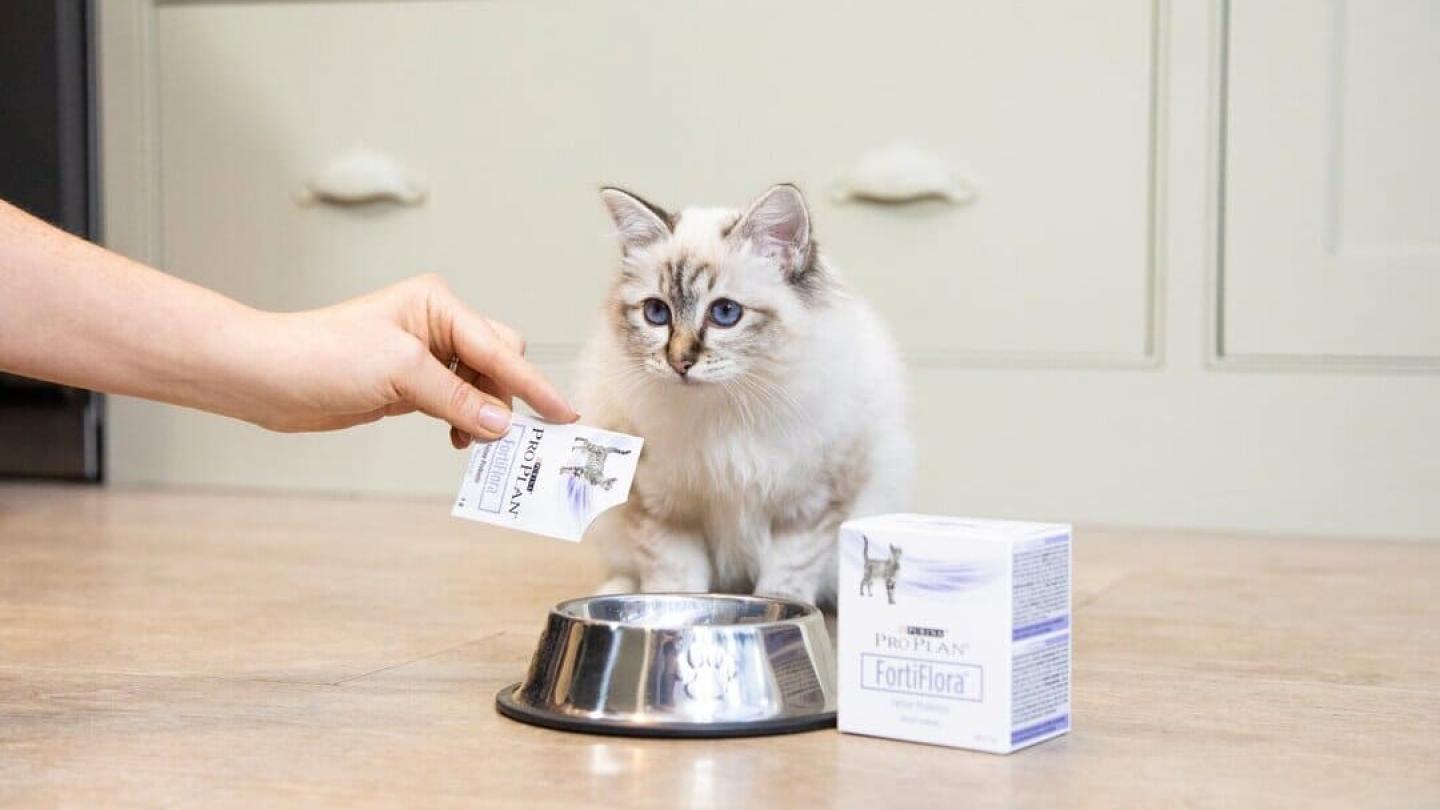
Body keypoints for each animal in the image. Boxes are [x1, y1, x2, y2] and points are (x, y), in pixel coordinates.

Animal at [573, 183, 910, 605]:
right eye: (656, 313)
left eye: (725, 313)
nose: (679, 362)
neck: (725, 407)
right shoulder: (664, 510)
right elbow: (675, 585)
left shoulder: (810, 507)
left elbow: (786, 580)